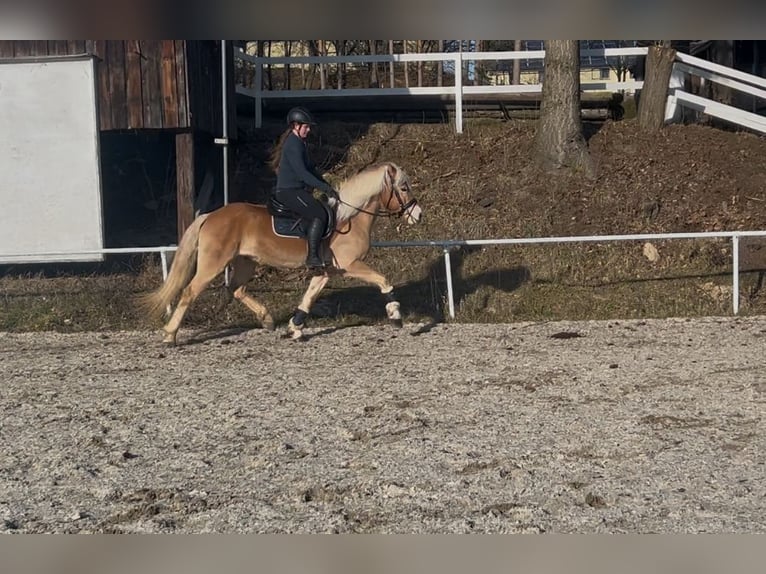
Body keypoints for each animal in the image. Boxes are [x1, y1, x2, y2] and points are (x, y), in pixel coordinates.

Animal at [141, 160, 424, 344]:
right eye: (404, 188)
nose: (418, 215)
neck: (348, 218)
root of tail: (211, 215)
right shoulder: (350, 265)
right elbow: (383, 280)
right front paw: (395, 315)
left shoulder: (326, 271)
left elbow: (309, 296)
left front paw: (295, 328)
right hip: (214, 263)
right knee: (190, 291)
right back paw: (170, 335)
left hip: (245, 262)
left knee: (236, 289)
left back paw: (266, 320)